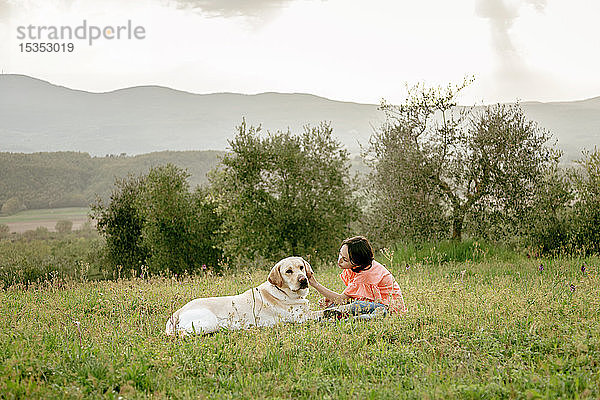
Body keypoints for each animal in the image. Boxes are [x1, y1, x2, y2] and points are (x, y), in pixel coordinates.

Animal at [164, 256, 314, 334]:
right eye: (288, 271)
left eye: (301, 267)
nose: (303, 280)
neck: (283, 291)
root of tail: (178, 311)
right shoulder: (302, 317)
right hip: (209, 322)